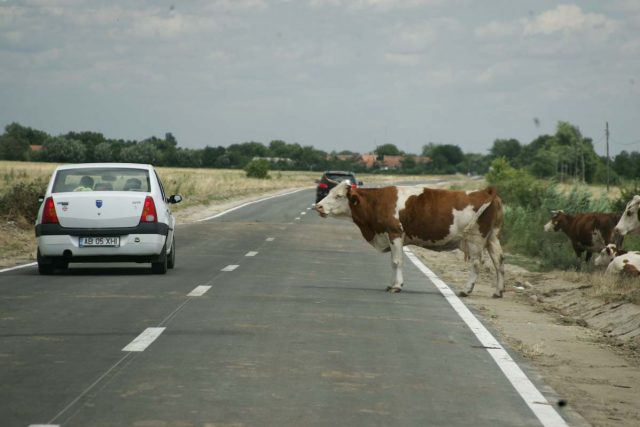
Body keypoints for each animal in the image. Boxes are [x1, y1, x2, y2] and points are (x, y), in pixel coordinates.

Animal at [316, 182, 504, 300]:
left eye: (338, 195)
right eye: (329, 192)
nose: (318, 206)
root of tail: (486, 191)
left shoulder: (395, 233)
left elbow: (396, 261)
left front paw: (397, 286)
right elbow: (393, 262)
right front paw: (391, 284)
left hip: (476, 238)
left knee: (476, 263)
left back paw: (466, 290)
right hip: (492, 237)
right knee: (499, 260)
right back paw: (498, 291)